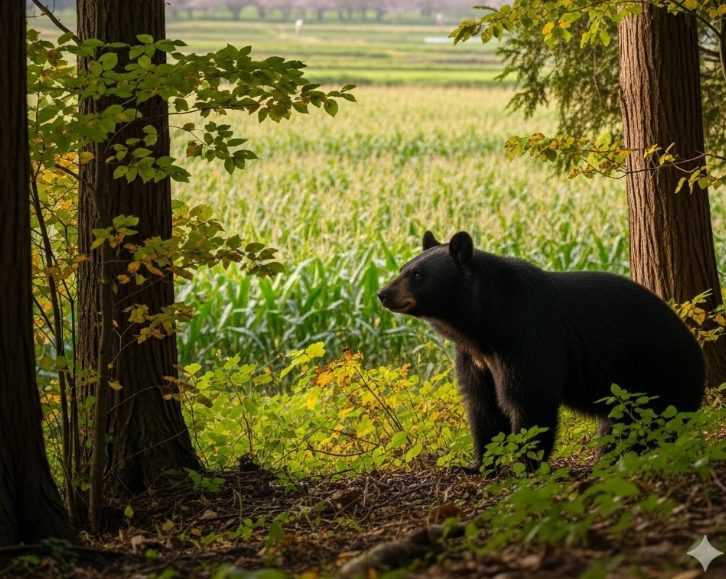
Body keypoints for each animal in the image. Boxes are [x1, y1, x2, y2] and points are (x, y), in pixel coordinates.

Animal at [378, 231, 706, 471]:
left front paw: (526, 465)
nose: (383, 293)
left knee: (644, 420)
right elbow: (482, 404)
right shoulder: (475, 358)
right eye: (402, 268)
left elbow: (528, 398)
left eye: (416, 274)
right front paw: (477, 465)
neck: (482, 322)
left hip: (651, 370)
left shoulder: (527, 335)